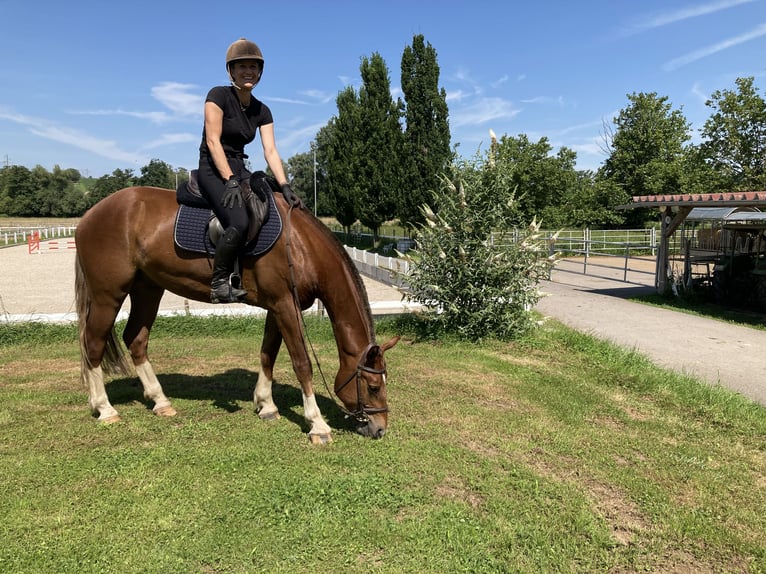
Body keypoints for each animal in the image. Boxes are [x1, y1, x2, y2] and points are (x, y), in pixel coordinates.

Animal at [73, 186, 402, 446]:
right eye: (373, 386)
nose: (380, 429)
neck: (298, 244)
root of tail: (90, 215)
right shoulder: (285, 305)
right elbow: (302, 363)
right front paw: (317, 424)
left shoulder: (277, 307)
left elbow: (268, 354)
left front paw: (266, 405)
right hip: (108, 295)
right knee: (93, 344)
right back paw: (105, 408)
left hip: (148, 289)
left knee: (135, 340)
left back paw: (160, 401)